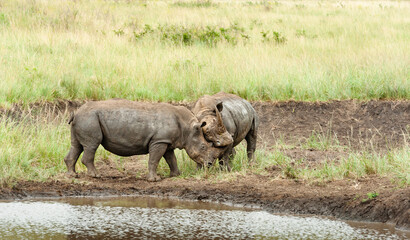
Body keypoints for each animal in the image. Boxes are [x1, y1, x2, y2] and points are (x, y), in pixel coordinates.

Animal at [64, 98, 218, 181]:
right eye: (203, 147)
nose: (210, 164)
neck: (187, 127)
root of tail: (76, 112)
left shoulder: (166, 141)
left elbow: (171, 159)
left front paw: (175, 175)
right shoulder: (159, 141)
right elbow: (154, 159)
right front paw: (154, 180)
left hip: (84, 118)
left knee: (77, 145)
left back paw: (73, 175)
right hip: (89, 119)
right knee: (92, 145)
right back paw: (96, 176)